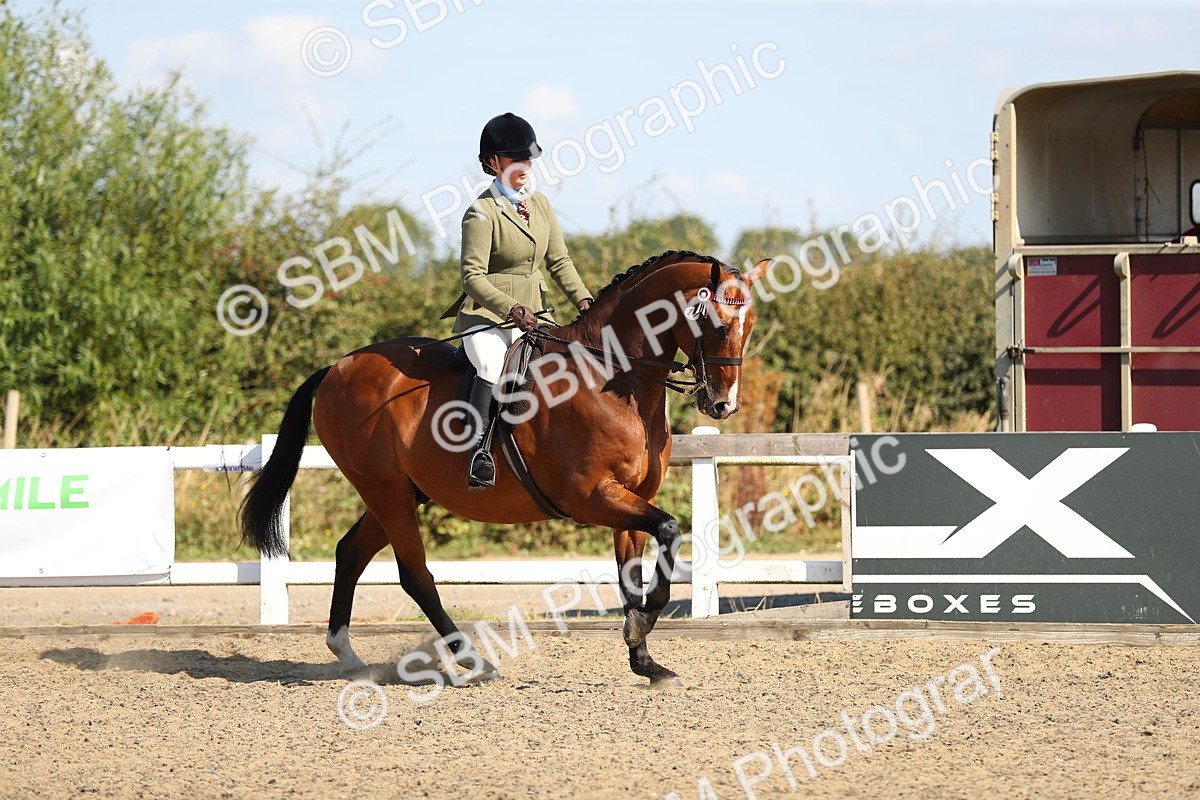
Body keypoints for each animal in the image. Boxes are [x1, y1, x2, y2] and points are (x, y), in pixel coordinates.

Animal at [240, 250, 767, 685]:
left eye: (749, 325)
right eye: (717, 323)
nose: (723, 405)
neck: (614, 379)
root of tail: (337, 368)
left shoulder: (634, 497)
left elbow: (632, 573)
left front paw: (644, 659)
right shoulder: (593, 497)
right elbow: (670, 532)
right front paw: (639, 629)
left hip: (399, 493)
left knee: (350, 552)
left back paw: (349, 657)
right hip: (386, 492)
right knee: (415, 575)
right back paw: (473, 662)